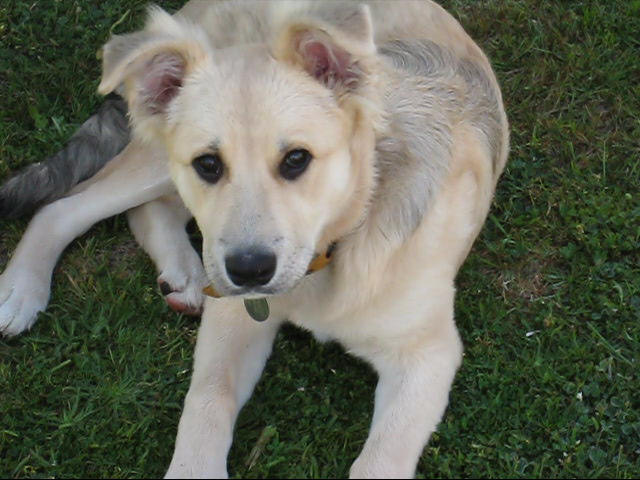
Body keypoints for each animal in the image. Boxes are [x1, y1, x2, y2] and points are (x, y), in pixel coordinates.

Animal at [0, 1, 509, 477]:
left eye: (297, 159)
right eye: (208, 164)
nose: (248, 272)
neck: (339, 243)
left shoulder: (426, 356)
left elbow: (379, 461)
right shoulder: (234, 316)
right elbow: (208, 399)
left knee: (146, 211)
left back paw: (182, 274)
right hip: (156, 165)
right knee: (63, 208)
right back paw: (21, 289)